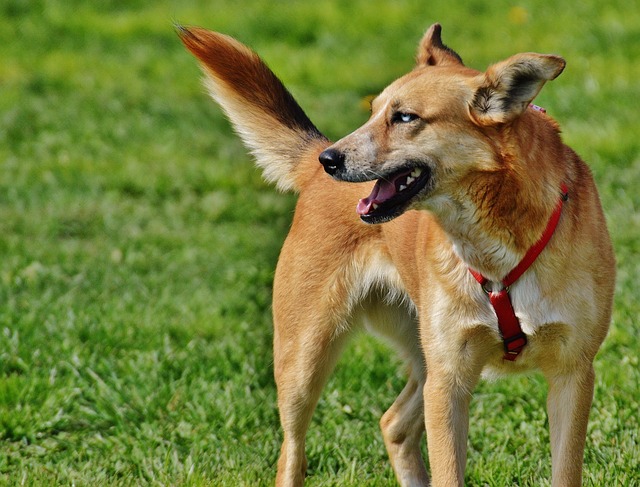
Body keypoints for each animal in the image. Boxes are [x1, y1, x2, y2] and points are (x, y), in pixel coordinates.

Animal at [179, 21, 616, 484]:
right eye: (372, 111)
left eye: (405, 117)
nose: (330, 159)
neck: (497, 247)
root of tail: (313, 165)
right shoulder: (449, 381)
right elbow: (449, 474)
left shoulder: (572, 376)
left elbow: (565, 470)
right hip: (305, 360)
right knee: (292, 451)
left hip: (419, 361)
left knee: (393, 423)